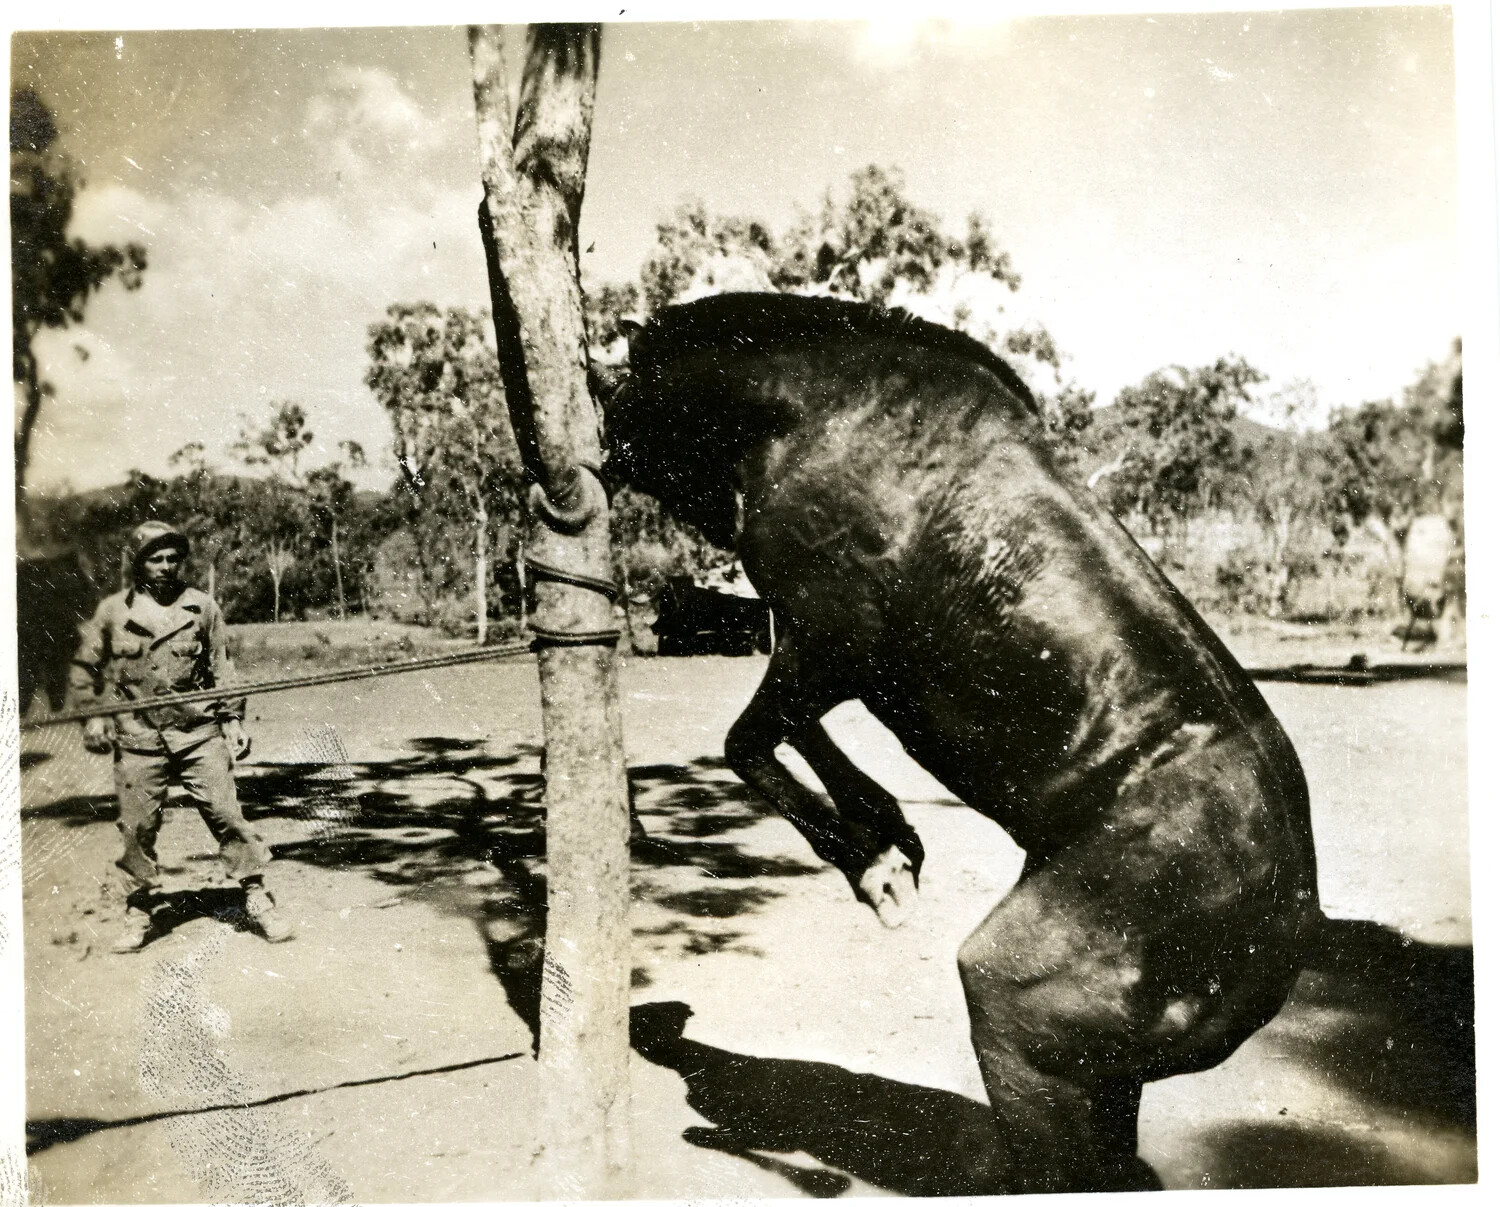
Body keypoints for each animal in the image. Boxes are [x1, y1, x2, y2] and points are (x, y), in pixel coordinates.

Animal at [604, 292, 1321, 1193]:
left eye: (623, 393)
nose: (589, 456)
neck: (818, 408)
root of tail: (1287, 935)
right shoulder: (831, 656)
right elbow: (799, 742)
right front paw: (888, 838)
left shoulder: (828, 641)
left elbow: (749, 743)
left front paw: (876, 870)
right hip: (1098, 1071)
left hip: (1015, 1010)